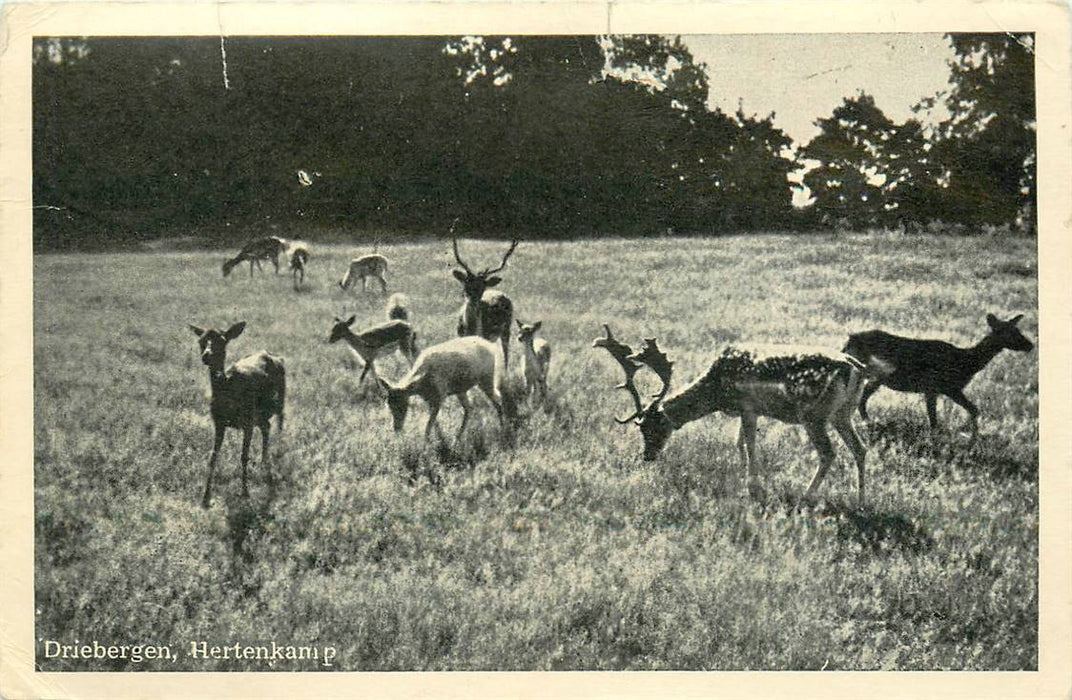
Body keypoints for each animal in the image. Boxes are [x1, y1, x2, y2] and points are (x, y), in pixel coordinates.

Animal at [377, 334, 505, 441]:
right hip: (461, 389)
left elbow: (429, 424)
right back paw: (457, 438)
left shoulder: (440, 396)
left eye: (403, 406)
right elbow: (434, 423)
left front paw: (427, 443)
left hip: (487, 378)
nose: (397, 429)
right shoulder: (429, 399)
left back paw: (502, 430)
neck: (423, 384)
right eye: (389, 404)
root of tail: (491, 346)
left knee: (498, 399)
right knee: (469, 408)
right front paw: (439, 440)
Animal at [452, 231, 518, 368]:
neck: (471, 330)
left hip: (506, 329)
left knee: (506, 354)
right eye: (466, 283)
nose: (473, 298)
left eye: (482, 287)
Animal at [596, 325, 870, 499]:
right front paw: (741, 476)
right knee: (860, 448)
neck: (718, 390)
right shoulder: (745, 410)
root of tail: (855, 368)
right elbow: (738, 442)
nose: (647, 456)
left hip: (813, 415)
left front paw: (753, 486)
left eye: (651, 427)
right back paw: (861, 500)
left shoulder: (748, 406)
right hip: (842, 414)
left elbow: (750, 444)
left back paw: (806, 496)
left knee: (828, 453)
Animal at [840, 313, 1033, 448]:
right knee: (859, 397)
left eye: (1018, 330)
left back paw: (869, 423)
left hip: (876, 377)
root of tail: (848, 341)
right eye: (1009, 332)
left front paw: (970, 441)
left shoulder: (947, 389)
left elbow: (972, 410)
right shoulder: (936, 387)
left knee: (863, 398)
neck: (964, 362)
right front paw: (952, 443)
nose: (1030, 345)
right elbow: (935, 420)